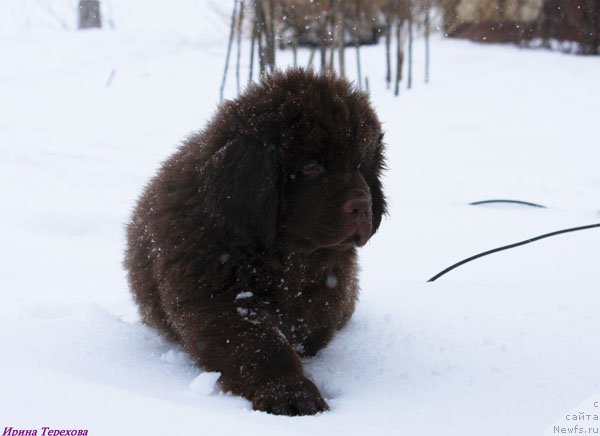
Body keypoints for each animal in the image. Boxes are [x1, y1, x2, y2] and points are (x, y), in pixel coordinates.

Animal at [124, 68, 386, 416]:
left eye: (359, 165)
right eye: (311, 166)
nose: (363, 207)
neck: (284, 257)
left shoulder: (331, 290)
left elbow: (314, 327)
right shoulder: (218, 295)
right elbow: (259, 342)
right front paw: (290, 393)